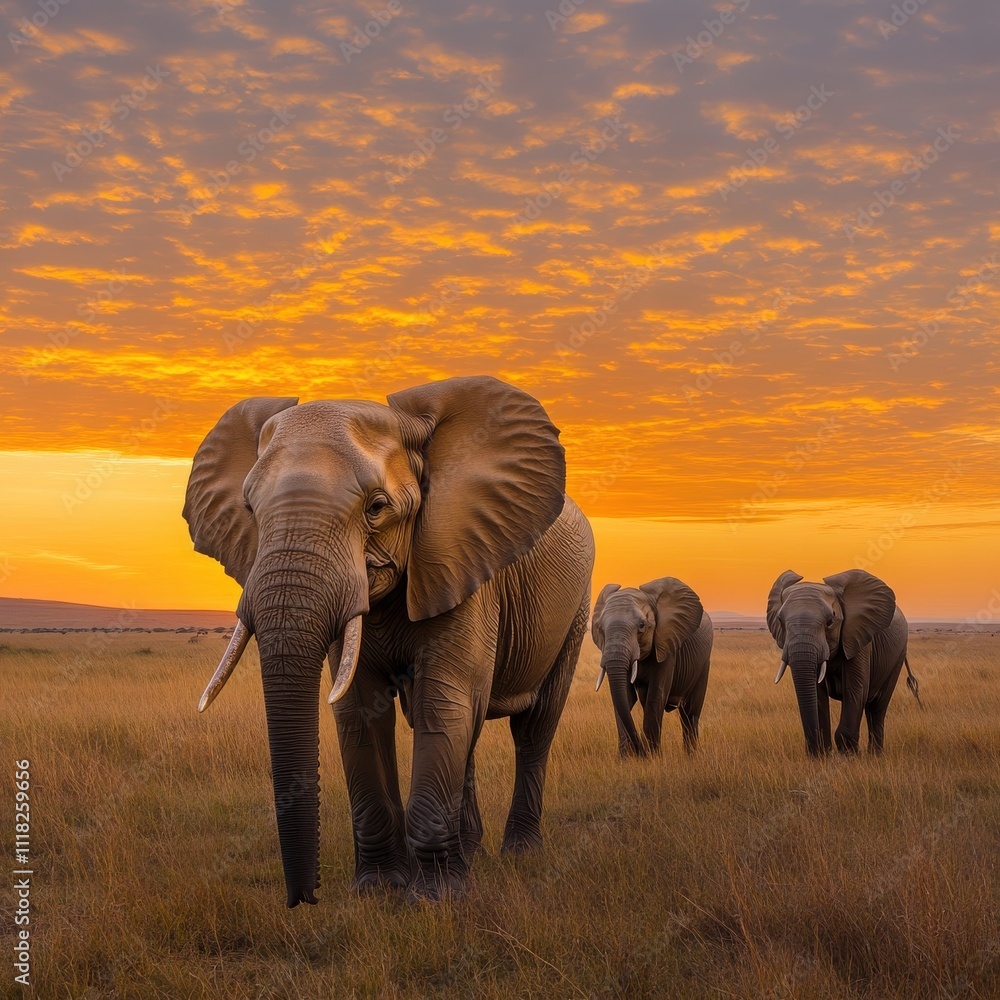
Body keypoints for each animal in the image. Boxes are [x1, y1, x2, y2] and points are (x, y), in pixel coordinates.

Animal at [183, 375, 595, 906]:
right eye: (250, 509)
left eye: (377, 509)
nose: (304, 898)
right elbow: (360, 710)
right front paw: (378, 891)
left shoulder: (458, 559)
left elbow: (443, 702)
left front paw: (436, 900)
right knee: (469, 730)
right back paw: (473, 854)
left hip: (575, 607)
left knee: (533, 727)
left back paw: (520, 854)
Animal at [591, 577, 713, 757]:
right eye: (600, 628)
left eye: (642, 625)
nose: (640, 752)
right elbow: (626, 698)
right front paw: (624, 759)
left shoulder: (667, 647)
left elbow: (656, 698)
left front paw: (653, 758)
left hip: (703, 663)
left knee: (690, 714)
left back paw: (691, 757)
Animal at [766, 569, 922, 757]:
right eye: (780, 621)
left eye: (830, 622)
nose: (814, 752)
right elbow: (817, 694)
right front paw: (822, 757)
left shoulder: (858, 639)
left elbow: (855, 690)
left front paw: (849, 758)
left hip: (898, 655)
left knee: (877, 707)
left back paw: (874, 756)